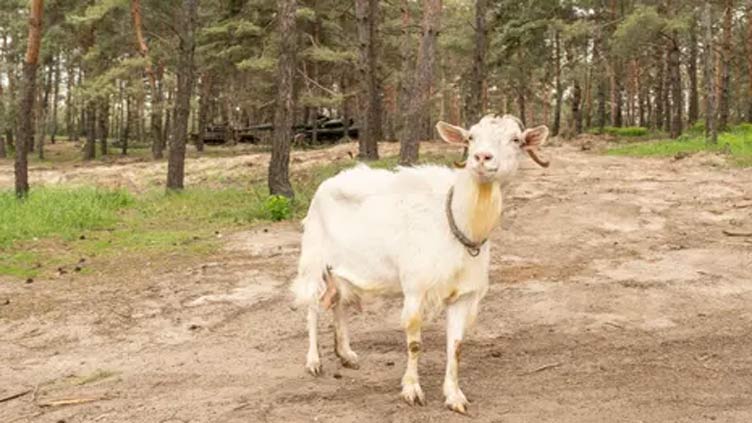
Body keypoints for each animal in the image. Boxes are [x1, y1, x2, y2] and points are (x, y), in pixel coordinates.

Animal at [291, 114, 549, 413]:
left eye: (515, 139)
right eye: (471, 137)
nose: (482, 157)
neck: (455, 222)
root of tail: (325, 185)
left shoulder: (464, 295)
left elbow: (456, 347)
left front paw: (455, 396)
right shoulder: (416, 289)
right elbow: (414, 343)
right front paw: (412, 391)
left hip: (342, 270)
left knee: (337, 303)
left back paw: (346, 355)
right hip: (313, 260)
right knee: (312, 307)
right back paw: (313, 362)